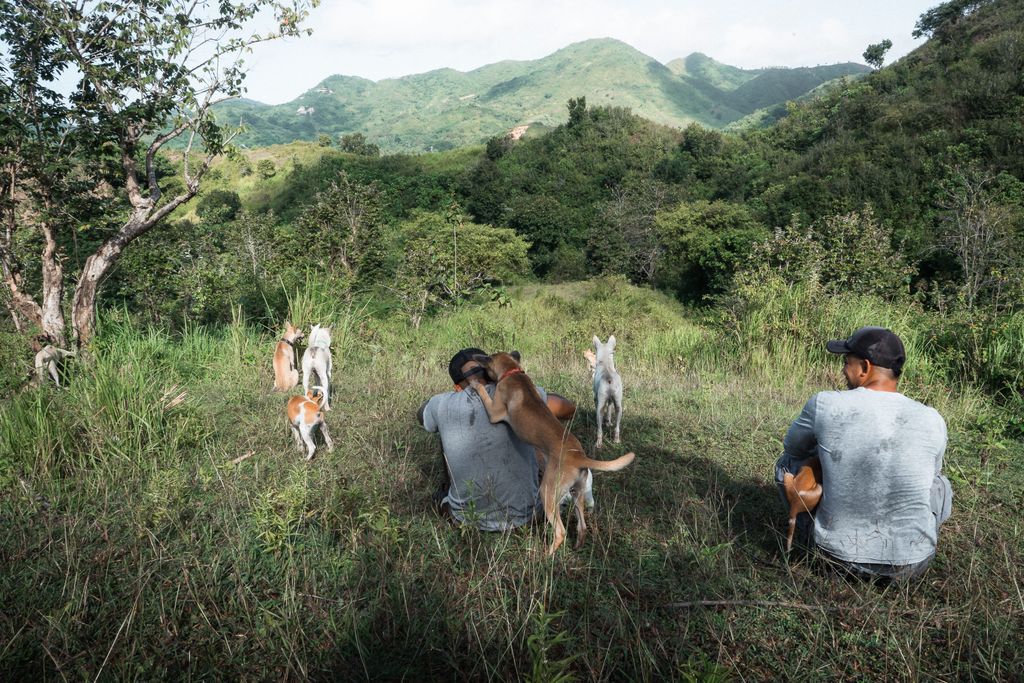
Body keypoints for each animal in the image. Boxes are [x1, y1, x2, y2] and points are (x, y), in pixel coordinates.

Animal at [468, 352, 630, 557]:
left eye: (487, 359)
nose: (476, 358)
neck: (513, 373)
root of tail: (579, 457)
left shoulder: (494, 412)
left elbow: (483, 393)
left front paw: (475, 384)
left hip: (547, 492)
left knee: (560, 532)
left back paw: (545, 554)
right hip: (577, 493)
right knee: (582, 526)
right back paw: (577, 545)